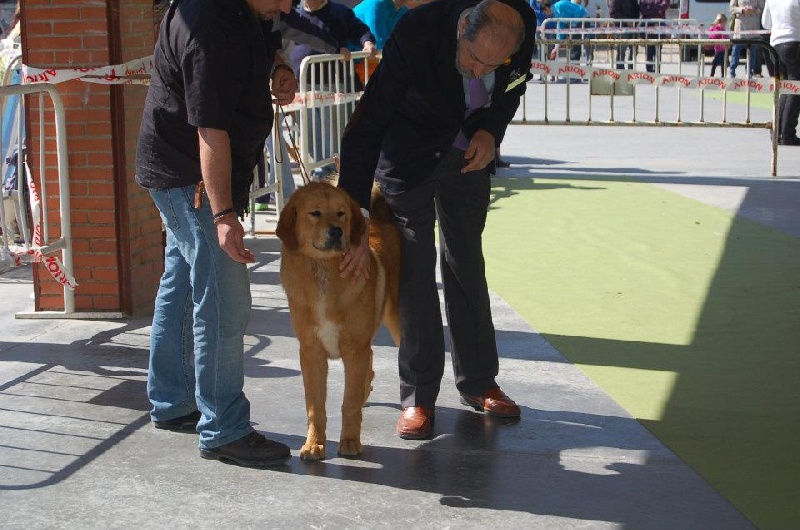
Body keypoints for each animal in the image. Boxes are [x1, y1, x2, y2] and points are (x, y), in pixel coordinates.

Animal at [276, 180, 400, 458]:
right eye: (315, 213)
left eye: (341, 213)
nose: (336, 232)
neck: (323, 272)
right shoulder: (311, 353)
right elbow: (315, 407)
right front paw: (314, 444)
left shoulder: (354, 350)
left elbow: (349, 403)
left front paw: (351, 441)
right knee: (371, 366)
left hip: (398, 323)